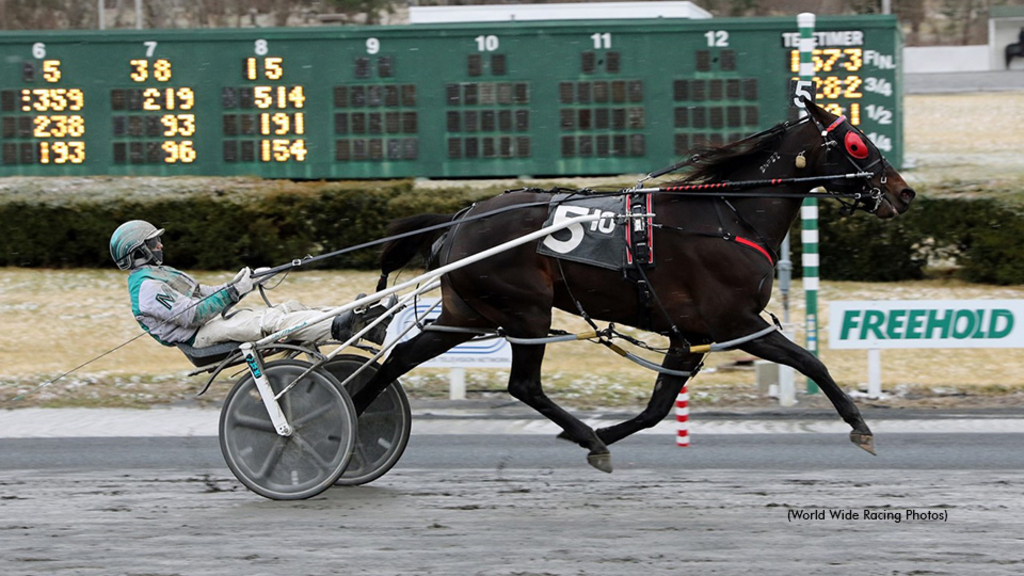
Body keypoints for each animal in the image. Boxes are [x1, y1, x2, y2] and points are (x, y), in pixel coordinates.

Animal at [356, 101, 917, 471]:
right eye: (856, 142)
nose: (904, 193)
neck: (728, 214)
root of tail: (459, 218)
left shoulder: (689, 335)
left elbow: (657, 407)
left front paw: (608, 430)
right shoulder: (736, 322)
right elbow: (810, 361)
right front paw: (859, 425)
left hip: (467, 313)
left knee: (399, 359)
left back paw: (353, 415)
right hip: (525, 311)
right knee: (523, 385)